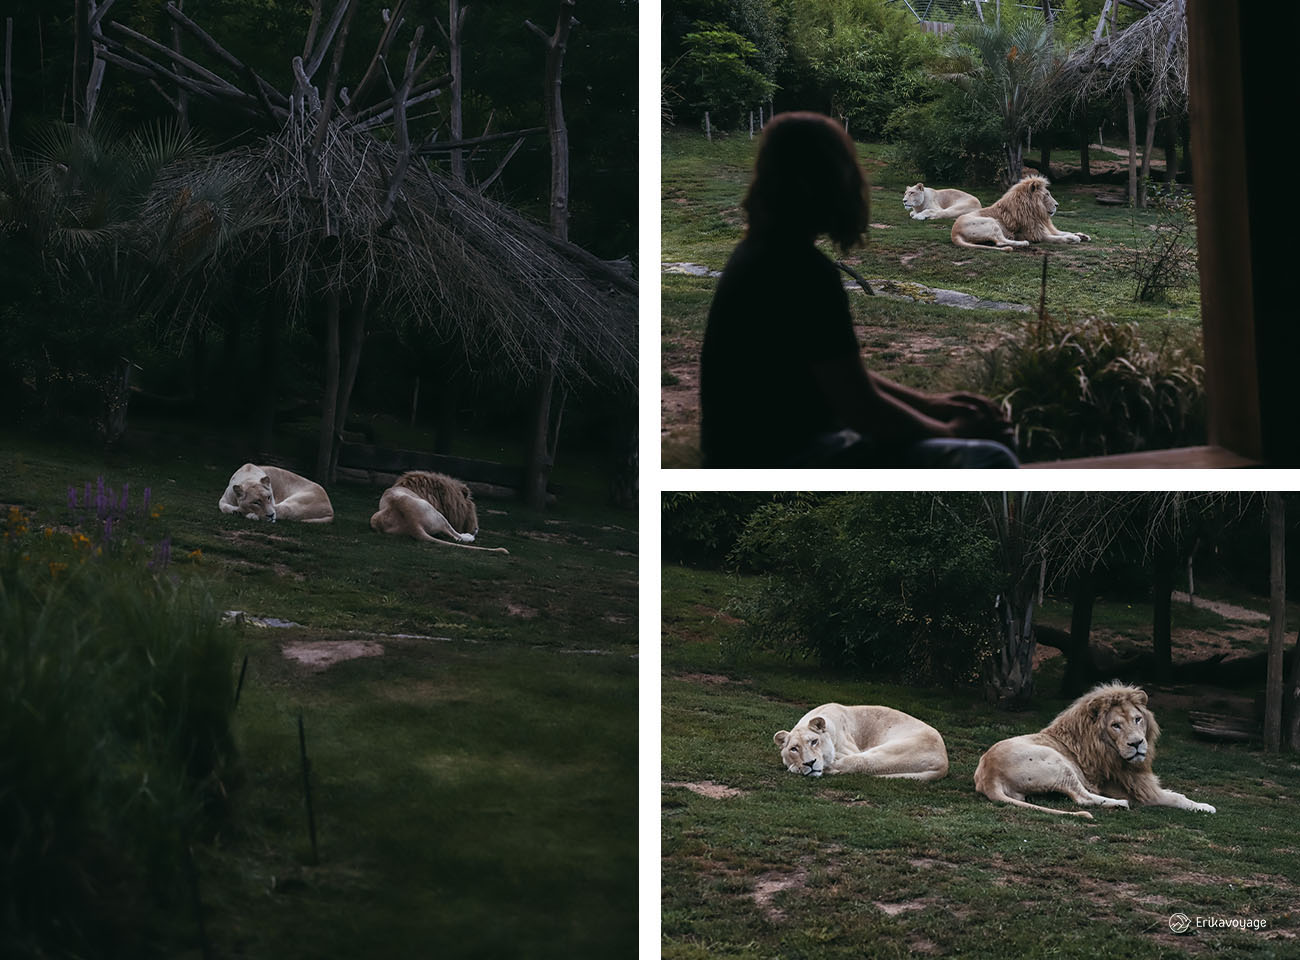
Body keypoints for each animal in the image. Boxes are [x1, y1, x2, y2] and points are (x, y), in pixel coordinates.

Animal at [371, 470, 506, 554]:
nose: (475, 526)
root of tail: (412, 523)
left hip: (374, 518)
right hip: (438, 514)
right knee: (456, 536)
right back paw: (469, 535)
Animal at [774, 697, 951, 780]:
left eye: (814, 741)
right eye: (794, 749)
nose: (810, 763)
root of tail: (945, 764)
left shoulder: (849, 749)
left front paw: (797, 767)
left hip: (886, 752)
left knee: (854, 764)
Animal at [951, 174, 1092, 251]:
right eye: (1047, 195)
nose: (1057, 205)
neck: (1038, 213)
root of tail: (954, 233)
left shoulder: (1045, 228)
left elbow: (1064, 232)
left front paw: (1082, 235)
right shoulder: (1036, 235)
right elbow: (1059, 238)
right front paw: (1074, 238)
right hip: (991, 222)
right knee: (1000, 241)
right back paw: (1023, 243)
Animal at [977, 681, 1216, 816]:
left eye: (1138, 719)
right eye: (1116, 725)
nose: (1137, 743)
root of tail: (989, 776)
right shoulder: (1139, 790)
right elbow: (1177, 798)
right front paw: (1205, 806)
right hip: (1058, 763)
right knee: (1082, 797)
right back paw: (1119, 804)